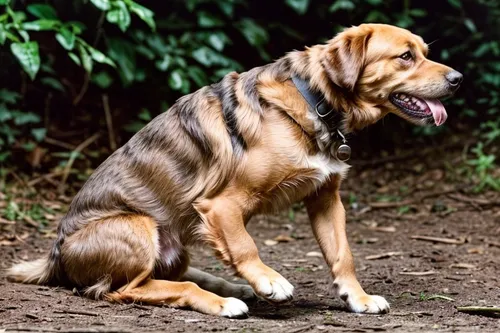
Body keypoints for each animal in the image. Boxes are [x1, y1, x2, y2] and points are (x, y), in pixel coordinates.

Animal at [6, 24, 460, 316]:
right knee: (129, 291)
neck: (313, 100)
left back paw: (231, 288)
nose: (458, 78)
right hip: (139, 226)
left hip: (173, 247)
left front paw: (357, 298)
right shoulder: (221, 206)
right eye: (405, 57)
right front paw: (269, 279)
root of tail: (55, 257)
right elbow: (245, 247)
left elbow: (342, 255)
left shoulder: (326, 200)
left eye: (424, 51)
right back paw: (224, 300)